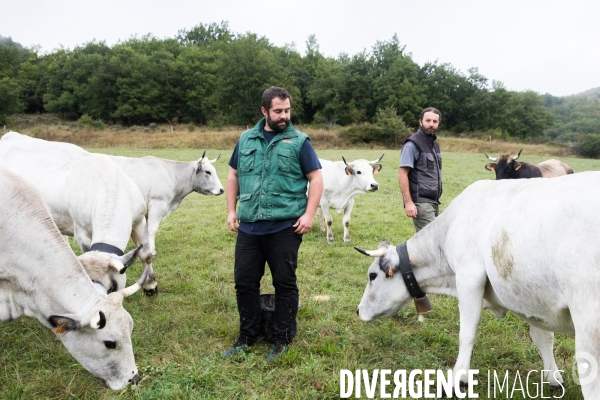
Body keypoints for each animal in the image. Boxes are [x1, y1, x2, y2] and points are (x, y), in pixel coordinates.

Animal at [0, 133, 158, 296]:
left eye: (112, 287)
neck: (111, 188)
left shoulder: (139, 220)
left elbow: (146, 254)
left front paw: (150, 285)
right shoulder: (82, 233)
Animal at [356, 171, 600, 396]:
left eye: (372, 275)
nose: (358, 311)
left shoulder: (469, 276)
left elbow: (466, 333)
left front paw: (457, 379)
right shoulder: (530, 296)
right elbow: (543, 337)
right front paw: (553, 377)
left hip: (589, 321)